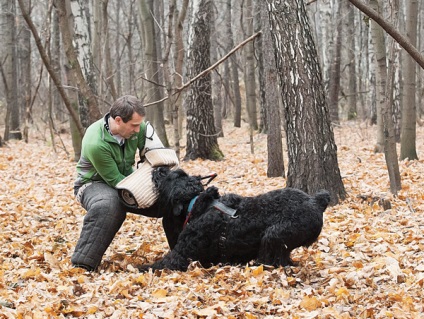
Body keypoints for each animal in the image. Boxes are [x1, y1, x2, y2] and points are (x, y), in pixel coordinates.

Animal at [137, 168, 332, 272]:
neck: (196, 203)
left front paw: (138, 268)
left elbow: (159, 264)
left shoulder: (180, 256)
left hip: (274, 235)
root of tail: (316, 201)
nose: (159, 169)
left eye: (170, 177)